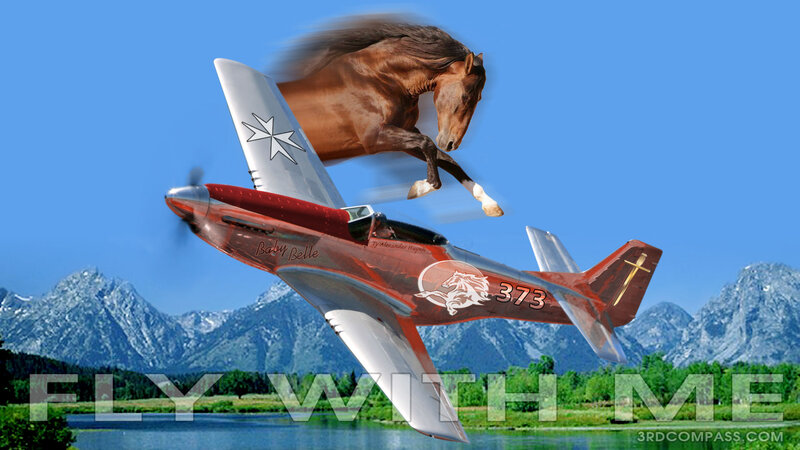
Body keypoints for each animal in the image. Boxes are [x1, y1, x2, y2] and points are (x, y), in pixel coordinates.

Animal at [277, 19, 503, 217]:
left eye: (479, 98)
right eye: (466, 96)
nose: (451, 142)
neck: (380, 78)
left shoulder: (403, 135)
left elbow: (446, 159)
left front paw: (489, 204)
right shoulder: (375, 138)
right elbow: (428, 144)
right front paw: (421, 187)